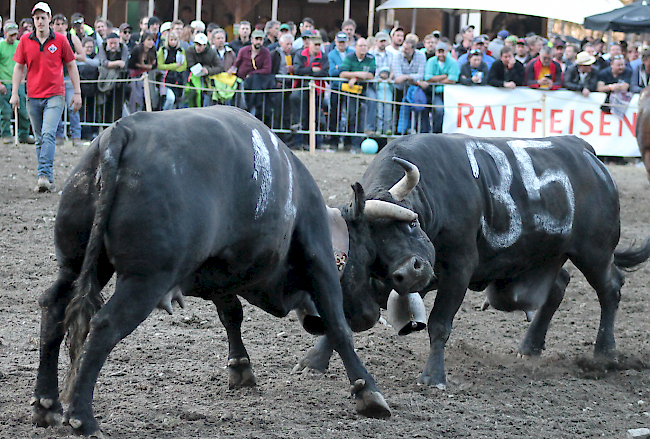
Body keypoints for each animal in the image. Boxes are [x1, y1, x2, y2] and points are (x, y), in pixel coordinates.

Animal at [30, 105, 388, 436]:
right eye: (369, 259)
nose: (372, 314)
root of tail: (122, 132)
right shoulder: (319, 259)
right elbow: (338, 326)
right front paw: (367, 392)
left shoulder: (221, 270)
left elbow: (231, 315)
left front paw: (240, 368)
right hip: (145, 280)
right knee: (104, 325)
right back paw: (82, 417)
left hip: (77, 266)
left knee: (54, 309)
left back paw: (47, 404)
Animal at [298, 132, 648, 390]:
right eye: (371, 248)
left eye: (411, 224)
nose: (410, 272)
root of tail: (585, 151)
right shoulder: (381, 280)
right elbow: (342, 317)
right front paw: (314, 361)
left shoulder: (459, 267)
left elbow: (439, 324)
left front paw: (433, 376)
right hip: (546, 255)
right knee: (559, 285)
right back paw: (530, 346)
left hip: (594, 251)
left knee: (610, 288)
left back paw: (605, 353)